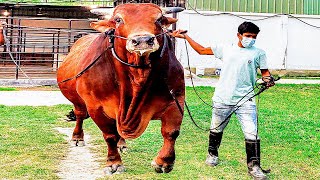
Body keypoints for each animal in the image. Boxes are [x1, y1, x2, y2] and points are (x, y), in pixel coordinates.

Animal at [56, 2, 184, 174]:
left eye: (159, 19)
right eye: (118, 20)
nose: (143, 40)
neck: (138, 75)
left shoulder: (176, 99)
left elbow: (171, 132)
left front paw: (164, 162)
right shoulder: (96, 107)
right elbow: (109, 136)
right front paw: (113, 163)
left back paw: (122, 144)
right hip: (79, 102)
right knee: (80, 115)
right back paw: (77, 137)